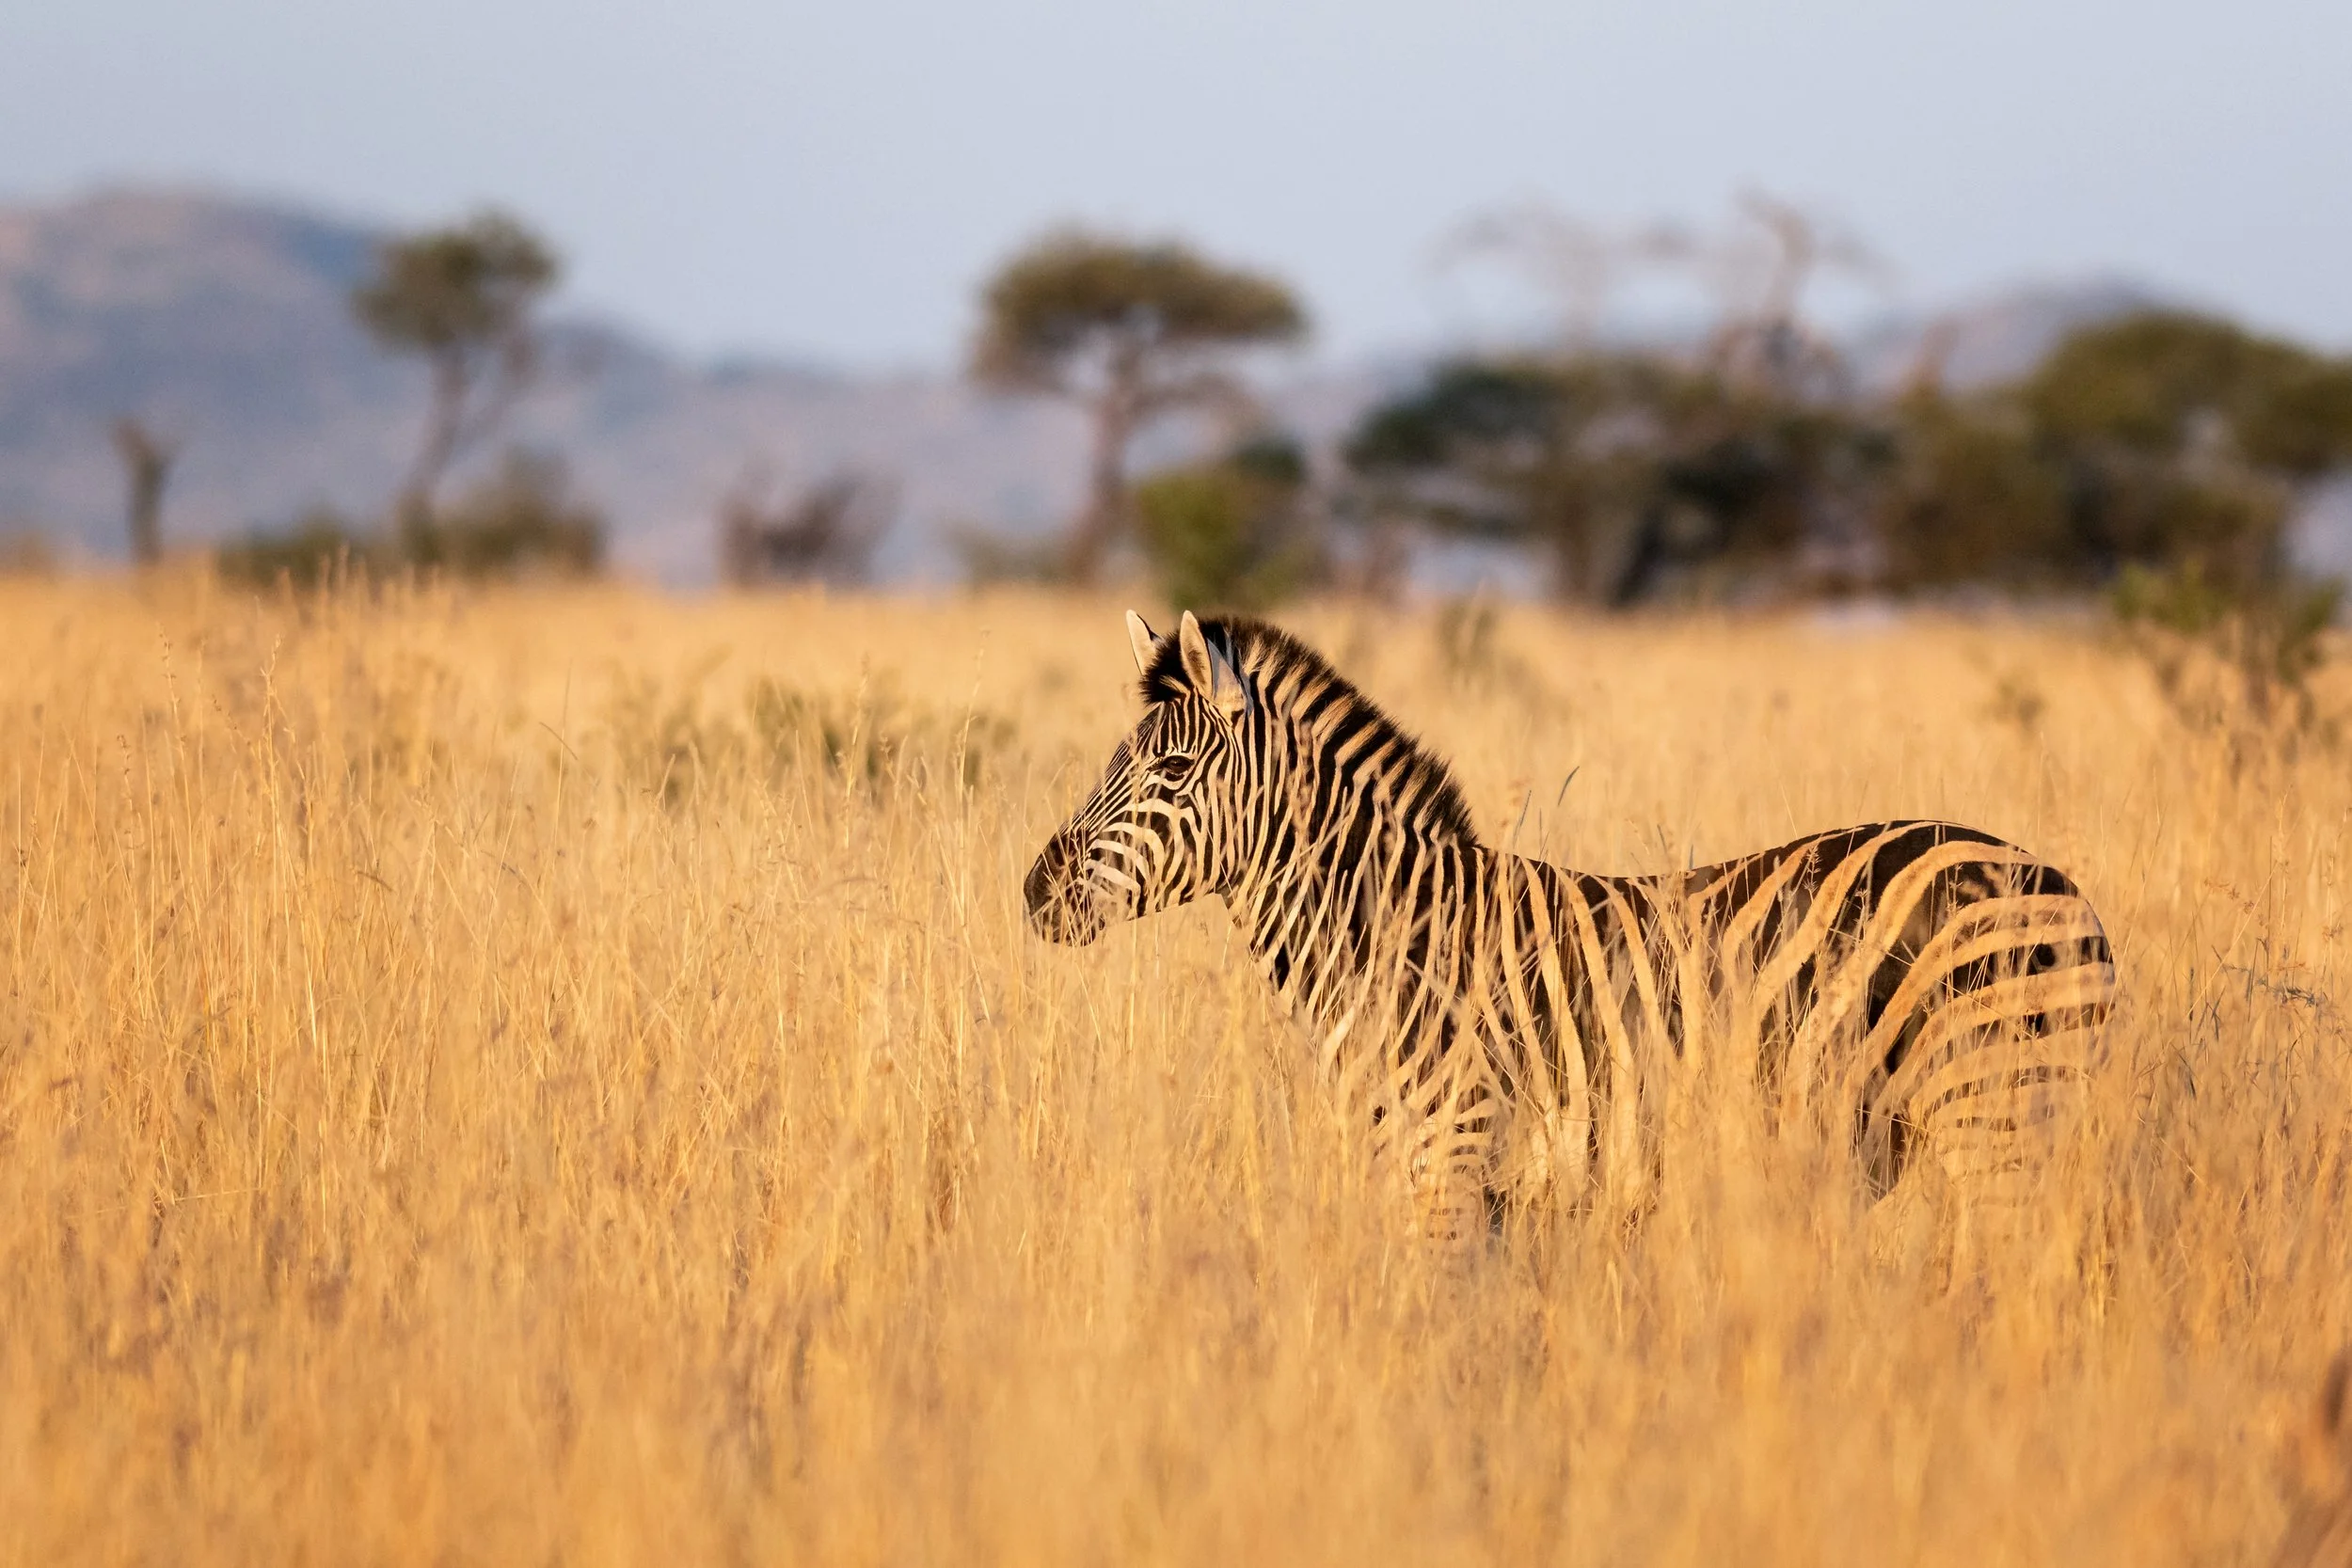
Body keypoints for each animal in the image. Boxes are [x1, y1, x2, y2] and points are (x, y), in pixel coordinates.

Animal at [1023, 610, 2116, 1239]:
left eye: (1169, 772)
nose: (1036, 890)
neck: (1389, 938)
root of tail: (2062, 885)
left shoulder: (1450, 1150)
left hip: (1995, 1109)